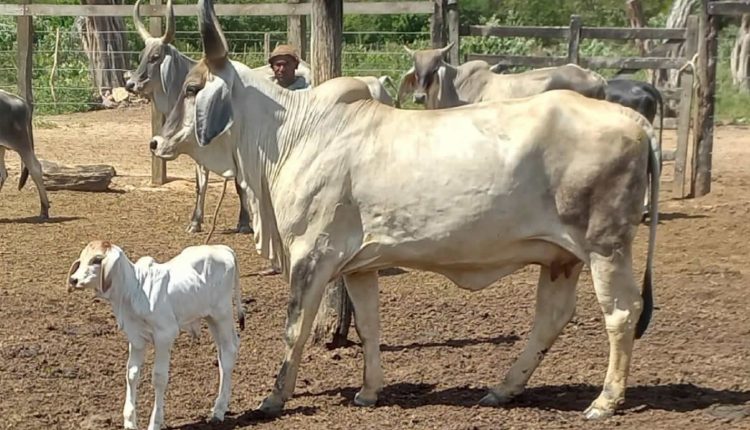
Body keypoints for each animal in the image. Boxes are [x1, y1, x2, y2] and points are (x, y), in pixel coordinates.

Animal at [67, 240, 245, 430]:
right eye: (82, 259)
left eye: (96, 260)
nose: (73, 279)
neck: (135, 289)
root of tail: (222, 248)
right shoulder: (136, 338)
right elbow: (132, 373)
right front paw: (129, 421)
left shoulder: (164, 336)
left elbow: (159, 378)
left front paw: (155, 422)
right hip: (210, 317)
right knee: (222, 354)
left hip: (222, 314)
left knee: (229, 352)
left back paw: (219, 411)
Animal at [125, 0, 252, 234]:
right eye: (141, 56)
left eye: (155, 57)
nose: (130, 84)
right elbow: (200, 184)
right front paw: (195, 221)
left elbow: (239, 185)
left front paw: (244, 223)